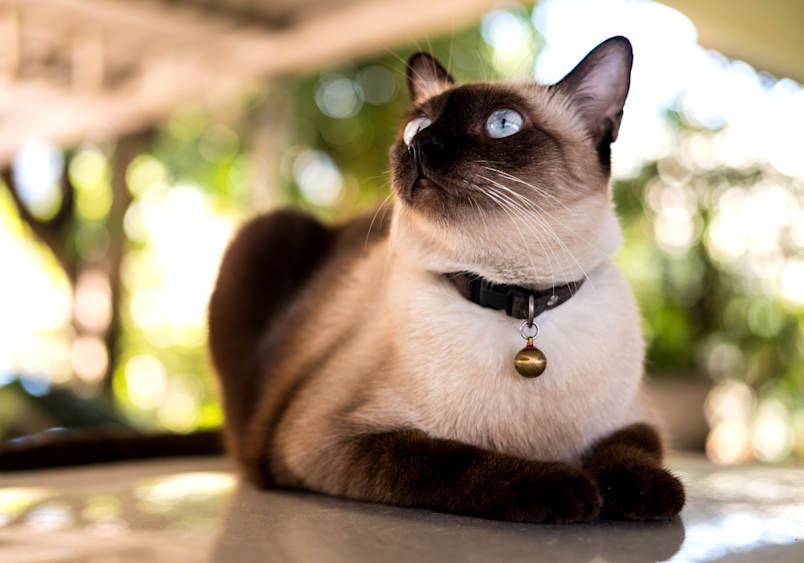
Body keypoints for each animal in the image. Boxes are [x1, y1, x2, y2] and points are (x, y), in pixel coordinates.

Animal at [206, 36, 684, 524]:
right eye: (417, 125)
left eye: (503, 124)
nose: (422, 143)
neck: (518, 297)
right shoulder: (324, 440)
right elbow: (455, 459)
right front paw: (563, 488)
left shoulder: (636, 416)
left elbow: (633, 450)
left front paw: (646, 493)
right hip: (268, 234)